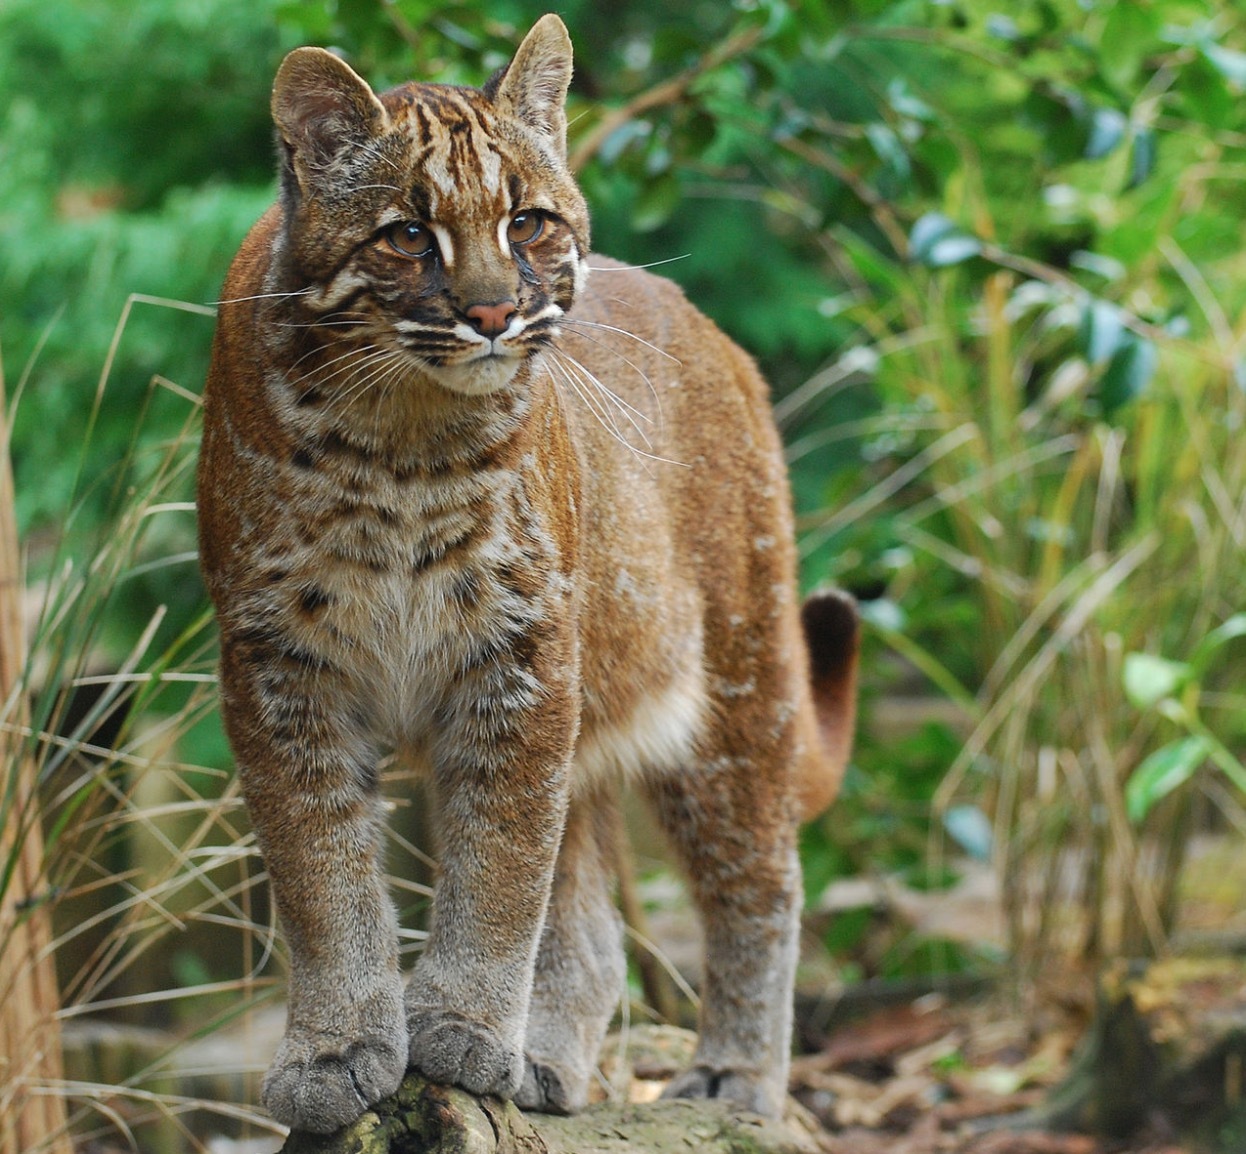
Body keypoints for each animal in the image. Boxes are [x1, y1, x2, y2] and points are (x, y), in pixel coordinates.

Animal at [196, 13, 857, 1136]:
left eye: (528, 222)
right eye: (407, 234)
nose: (495, 314)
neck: (399, 438)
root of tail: (710, 326)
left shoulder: (520, 657)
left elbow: (502, 869)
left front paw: (460, 1029)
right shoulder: (280, 668)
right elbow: (321, 873)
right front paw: (337, 1053)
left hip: (737, 690)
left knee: (760, 883)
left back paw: (735, 1081)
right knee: (595, 928)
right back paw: (548, 1064)